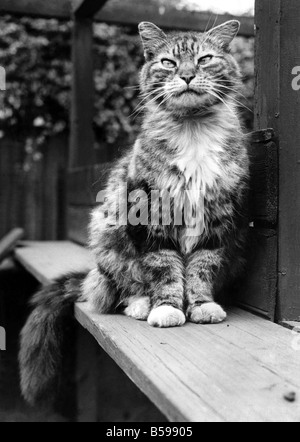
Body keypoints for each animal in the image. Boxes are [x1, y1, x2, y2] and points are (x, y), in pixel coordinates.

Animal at [18, 21, 250, 404]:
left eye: (204, 59)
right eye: (169, 62)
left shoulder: (217, 219)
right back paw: (141, 305)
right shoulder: (149, 216)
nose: (187, 75)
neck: (193, 129)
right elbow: (164, 269)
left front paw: (201, 305)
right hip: (108, 238)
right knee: (120, 289)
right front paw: (168, 308)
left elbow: (201, 269)